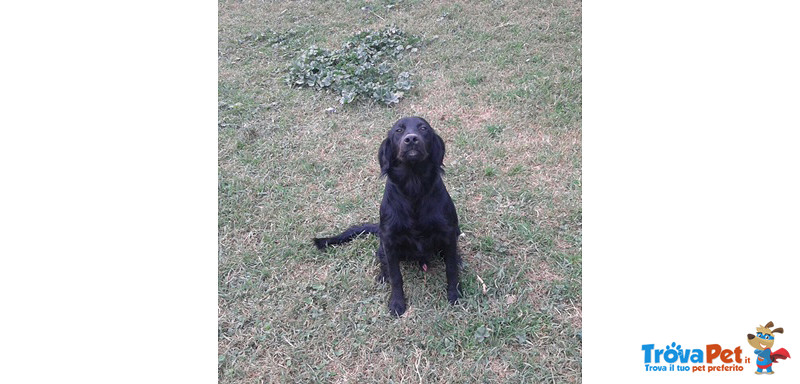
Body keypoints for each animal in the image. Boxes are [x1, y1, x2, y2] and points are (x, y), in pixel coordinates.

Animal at [314, 116, 462, 316]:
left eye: (423, 128)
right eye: (398, 131)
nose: (411, 139)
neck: (414, 186)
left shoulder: (448, 232)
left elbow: (451, 269)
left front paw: (454, 294)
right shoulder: (390, 242)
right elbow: (396, 276)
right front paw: (397, 303)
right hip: (382, 246)